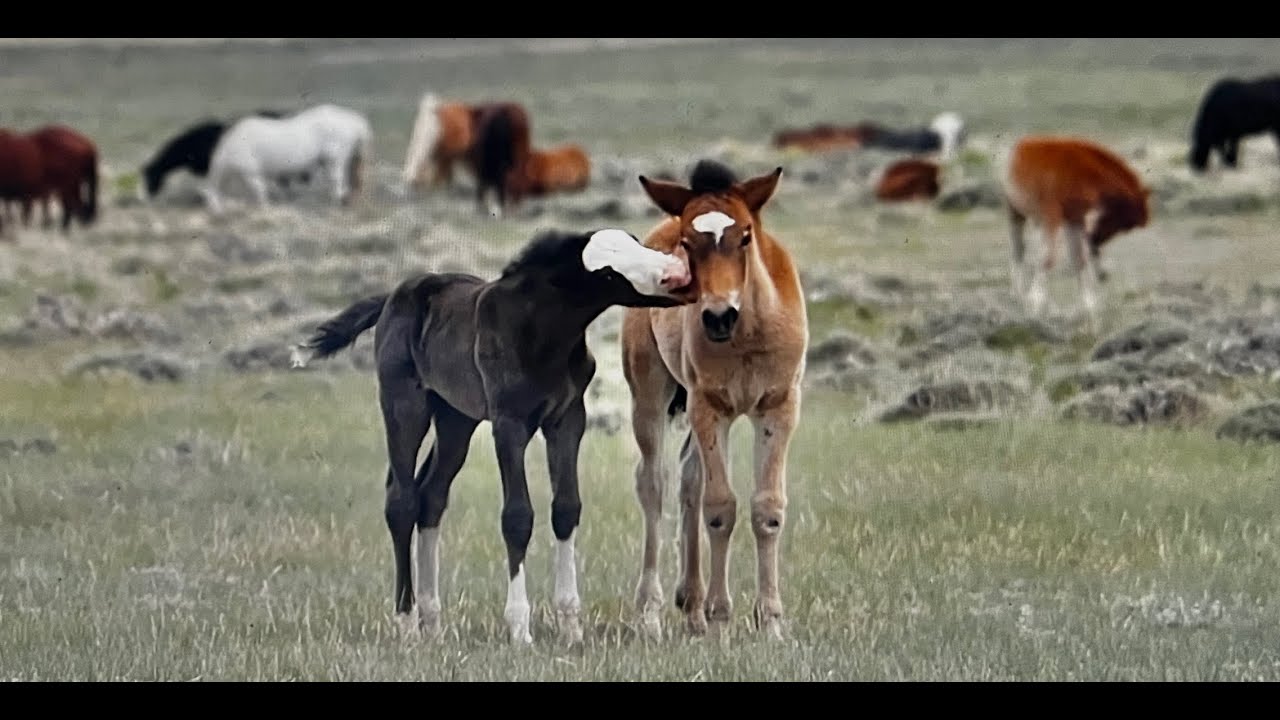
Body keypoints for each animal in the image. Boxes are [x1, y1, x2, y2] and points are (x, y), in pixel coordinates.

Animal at [204, 103, 372, 214]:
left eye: (210, 202)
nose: (216, 215)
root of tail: (354, 120)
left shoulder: (251, 173)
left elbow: (260, 192)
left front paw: (265, 209)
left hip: (335, 159)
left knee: (337, 180)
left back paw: (335, 204)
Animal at [290, 227, 695, 645]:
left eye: (637, 243)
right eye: (609, 274)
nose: (677, 274)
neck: (542, 330)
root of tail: (391, 299)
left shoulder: (567, 419)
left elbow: (566, 509)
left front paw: (571, 627)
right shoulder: (509, 423)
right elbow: (517, 517)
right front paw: (520, 629)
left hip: (456, 419)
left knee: (431, 497)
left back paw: (432, 622)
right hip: (404, 405)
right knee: (401, 501)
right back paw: (407, 623)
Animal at [621, 159, 809, 640]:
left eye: (745, 235)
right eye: (688, 243)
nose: (719, 316)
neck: (747, 337)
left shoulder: (779, 407)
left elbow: (767, 507)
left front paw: (770, 623)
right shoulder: (711, 407)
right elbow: (721, 507)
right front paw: (723, 619)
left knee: (689, 478)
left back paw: (692, 607)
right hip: (650, 394)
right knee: (654, 483)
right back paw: (651, 613)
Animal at [1001, 135, 1151, 320]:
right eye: (1125, 226)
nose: (1095, 241)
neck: (1083, 171)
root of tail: (1020, 146)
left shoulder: (1075, 220)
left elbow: (1078, 259)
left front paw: (1089, 304)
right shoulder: (1053, 216)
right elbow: (1047, 259)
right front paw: (1036, 302)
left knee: (1020, 251)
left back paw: (1020, 295)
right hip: (1015, 213)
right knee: (1018, 250)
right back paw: (1019, 295)